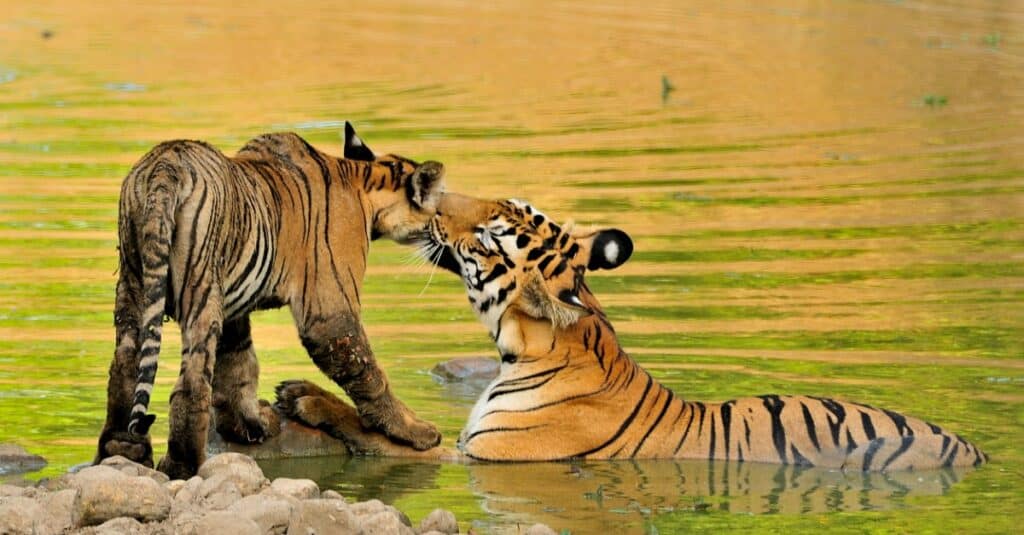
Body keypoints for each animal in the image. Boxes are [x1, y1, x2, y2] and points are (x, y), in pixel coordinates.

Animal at [96, 122, 444, 477]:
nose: (444, 232)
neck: (364, 183)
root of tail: (164, 166)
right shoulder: (329, 309)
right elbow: (368, 373)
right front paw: (415, 431)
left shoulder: (233, 308)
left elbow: (237, 365)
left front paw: (250, 424)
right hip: (200, 288)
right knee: (191, 383)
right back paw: (183, 465)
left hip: (134, 282)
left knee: (125, 367)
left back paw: (122, 449)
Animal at [276, 193, 987, 469]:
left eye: (487, 235)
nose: (434, 207)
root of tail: (975, 450)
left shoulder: (489, 456)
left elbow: (390, 443)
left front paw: (305, 398)